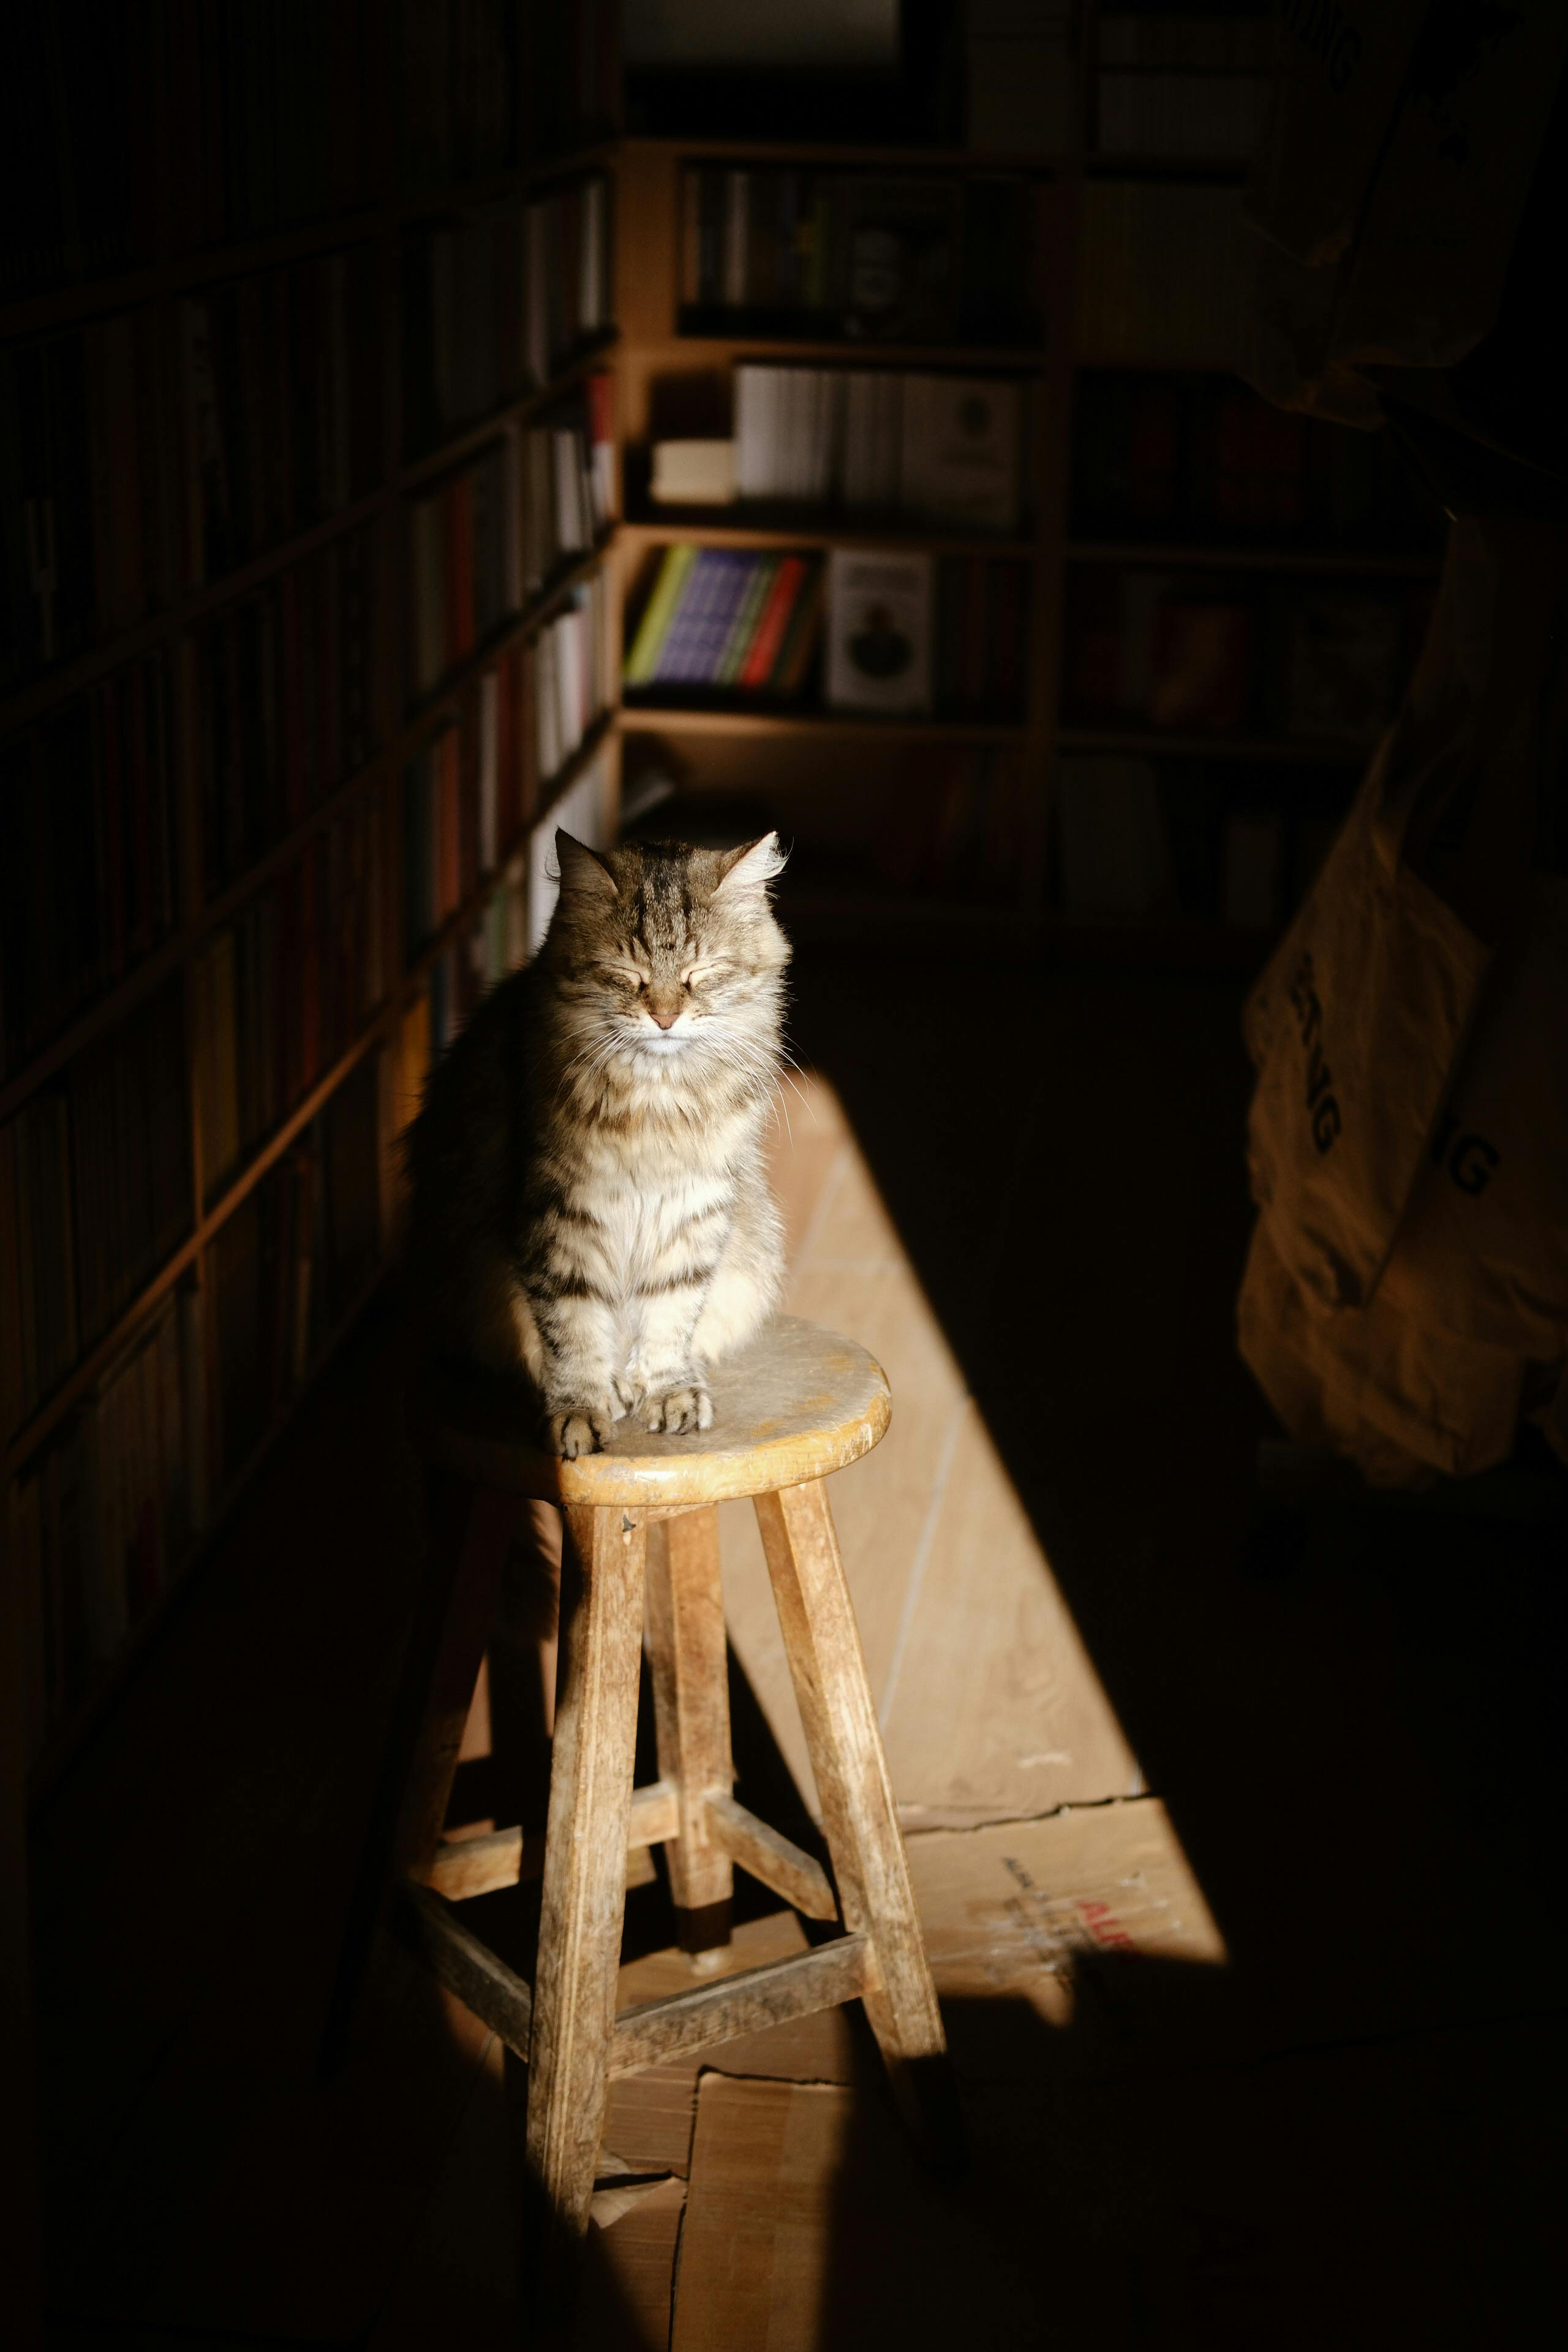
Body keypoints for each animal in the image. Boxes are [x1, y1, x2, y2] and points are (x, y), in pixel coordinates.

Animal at [404, 827, 790, 1449]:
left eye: (700, 974)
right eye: (627, 974)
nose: (664, 1018)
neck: (657, 1107)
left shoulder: (693, 1208)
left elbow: (670, 1317)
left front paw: (667, 1392)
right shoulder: (561, 1215)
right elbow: (575, 1330)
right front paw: (581, 1410)